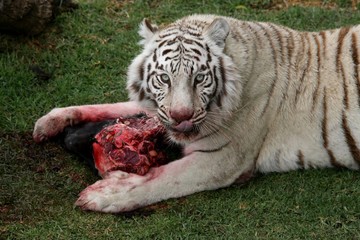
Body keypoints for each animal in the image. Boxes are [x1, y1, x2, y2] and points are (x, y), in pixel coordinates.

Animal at [33, 14, 360, 212]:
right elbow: (117, 106)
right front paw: (53, 119)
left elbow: (164, 179)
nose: (182, 117)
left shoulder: (224, 159)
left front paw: (105, 195)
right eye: (164, 78)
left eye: (200, 78)